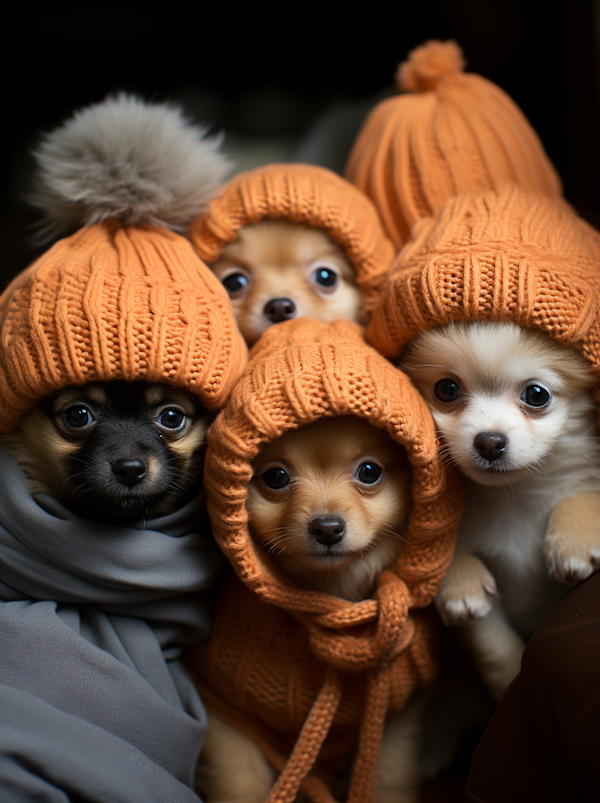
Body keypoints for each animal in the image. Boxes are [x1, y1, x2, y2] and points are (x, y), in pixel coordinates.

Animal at [197, 414, 426, 803]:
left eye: (369, 472)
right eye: (275, 477)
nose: (327, 528)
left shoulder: (395, 714)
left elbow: (387, 777)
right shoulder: (225, 707)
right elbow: (240, 781)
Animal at [398, 320, 600, 696]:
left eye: (537, 395)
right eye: (446, 389)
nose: (490, 442)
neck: (512, 497)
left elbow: (581, 490)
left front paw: (576, 539)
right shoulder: (480, 617)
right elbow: (495, 646)